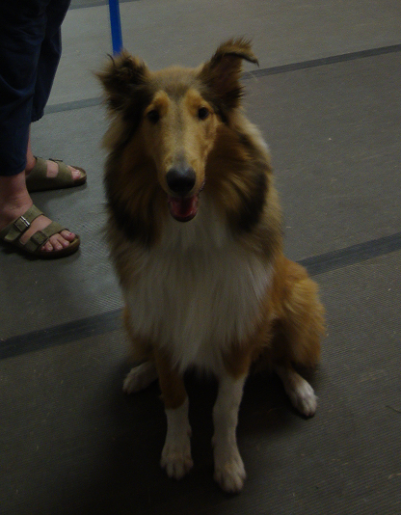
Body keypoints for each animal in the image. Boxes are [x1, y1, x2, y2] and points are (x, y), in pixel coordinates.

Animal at [97, 39, 324, 492]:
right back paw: (140, 374)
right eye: (152, 116)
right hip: (134, 317)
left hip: (297, 295)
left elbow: (225, 408)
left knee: (279, 359)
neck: (190, 236)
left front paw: (228, 464)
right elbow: (175, 396)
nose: (181, 180)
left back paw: (301, 390)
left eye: (204, 112)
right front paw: (176, 453)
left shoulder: (239, 326)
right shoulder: (161, 318)